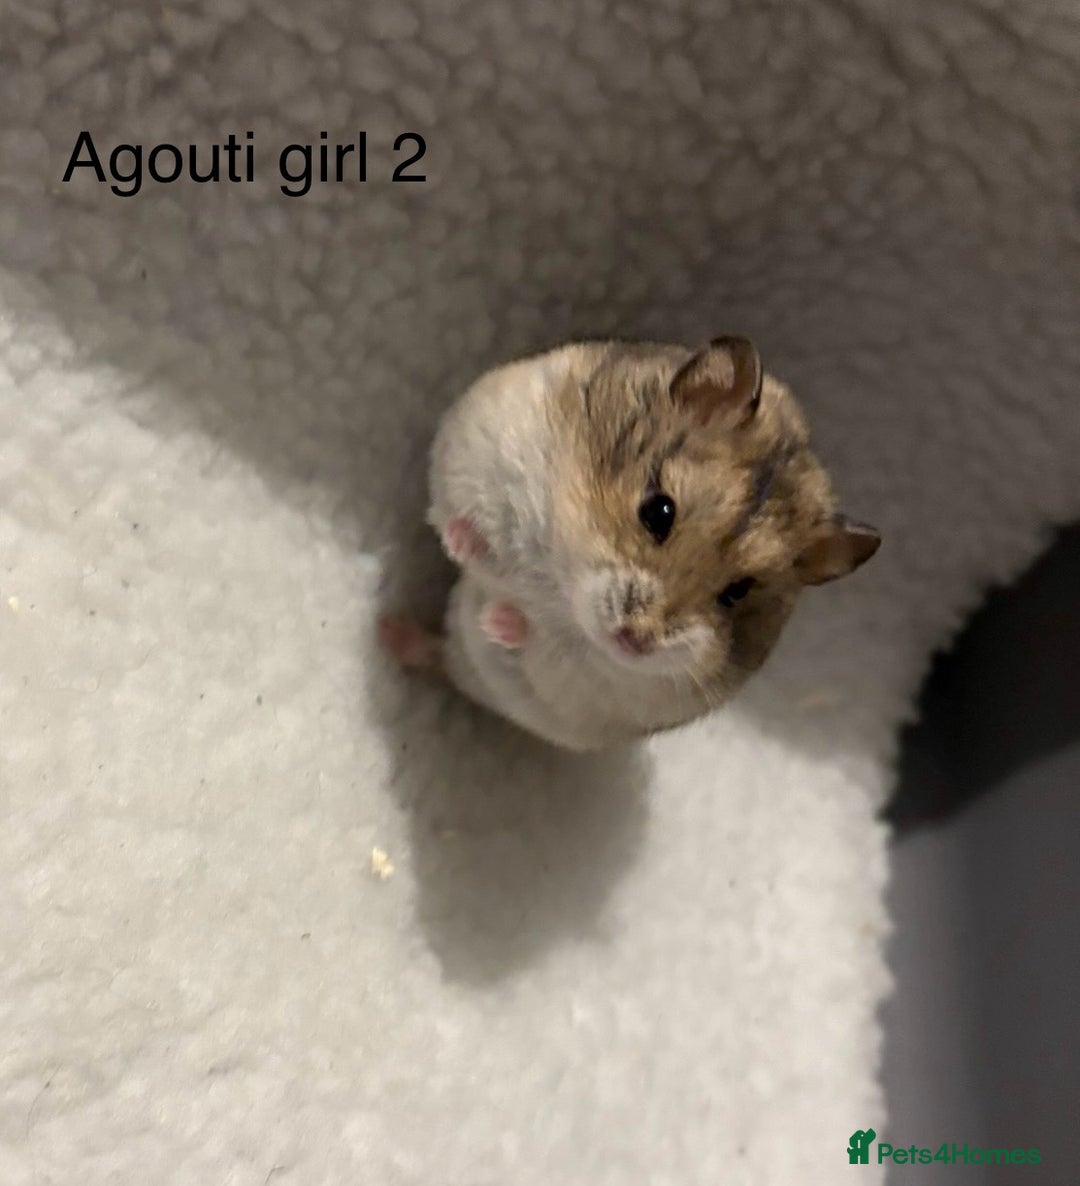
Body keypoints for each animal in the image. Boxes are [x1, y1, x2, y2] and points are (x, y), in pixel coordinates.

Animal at [378, 336, 880, 751]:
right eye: (658, 512)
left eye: (738, 593)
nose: (633, 640)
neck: (565, 580)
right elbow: (463, 523)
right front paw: (465, 544)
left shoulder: (593, 686)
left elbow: (542, 645)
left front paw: (500, 619)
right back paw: (389, 629)